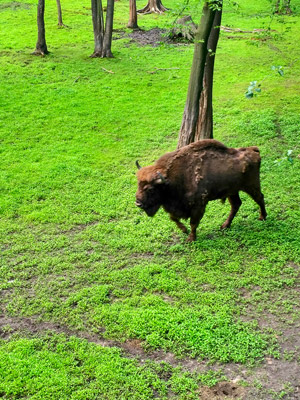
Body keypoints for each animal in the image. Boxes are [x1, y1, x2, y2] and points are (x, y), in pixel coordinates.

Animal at [136, 139, 268, 242]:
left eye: (150, 189)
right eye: (138, 184)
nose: (138, 203)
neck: (171, 180)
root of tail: (253, 150)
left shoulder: (198, 205)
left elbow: (193, 223)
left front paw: (191, 238)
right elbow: (173, 218)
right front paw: (184, 230)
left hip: (251, 186)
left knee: (259, 198)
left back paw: (262, 217)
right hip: (232, 191)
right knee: (236, 205)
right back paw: (225, 226)